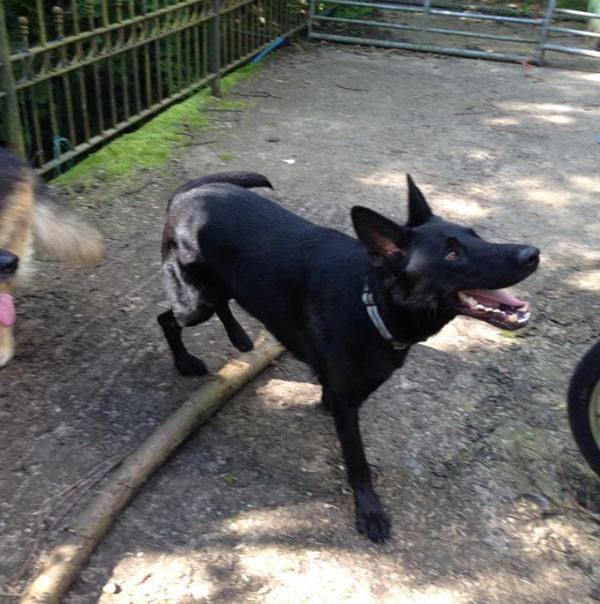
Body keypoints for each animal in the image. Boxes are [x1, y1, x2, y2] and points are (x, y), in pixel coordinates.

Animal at [158, 173, 540, 544]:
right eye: (452, 254)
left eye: (475, 236)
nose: (532, 254)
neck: (370, 302)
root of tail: (187, 194)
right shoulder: (347, 404)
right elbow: (357, 462)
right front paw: (369, 512)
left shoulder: (339, 392)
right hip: (195, 303)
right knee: (167, 319)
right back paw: (184, 362)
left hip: (215, 290)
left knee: (221, 303)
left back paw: (239, 336)